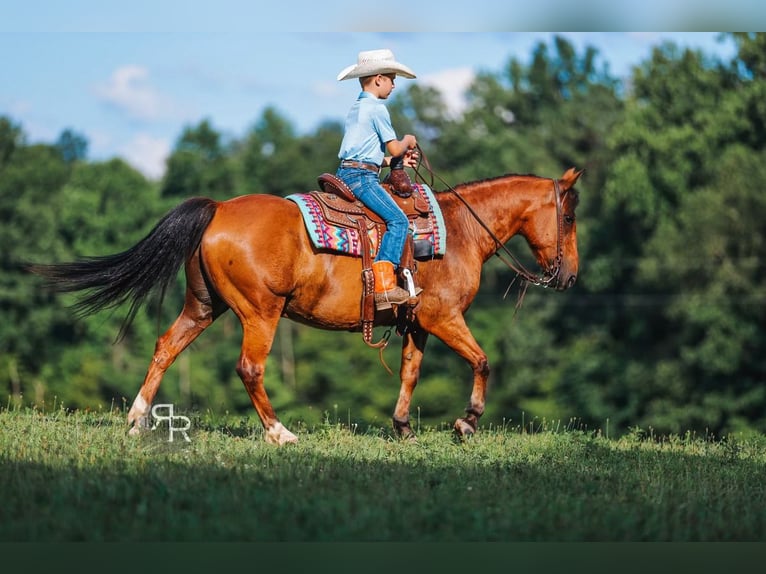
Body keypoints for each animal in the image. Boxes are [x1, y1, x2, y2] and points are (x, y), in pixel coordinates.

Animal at [29, 167, 582, 445]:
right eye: (570, 216)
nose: (570, 275)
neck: (459, 230)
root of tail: (218, 209)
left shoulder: (418, 322)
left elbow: (410, 371)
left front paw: (402, 427)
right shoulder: (443, 316)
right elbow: (482, 361)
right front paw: (466, 422)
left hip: (205, 305)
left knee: (166, 346)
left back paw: (139, 418)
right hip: (260, 312)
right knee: (249, 368)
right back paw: (280, 433)